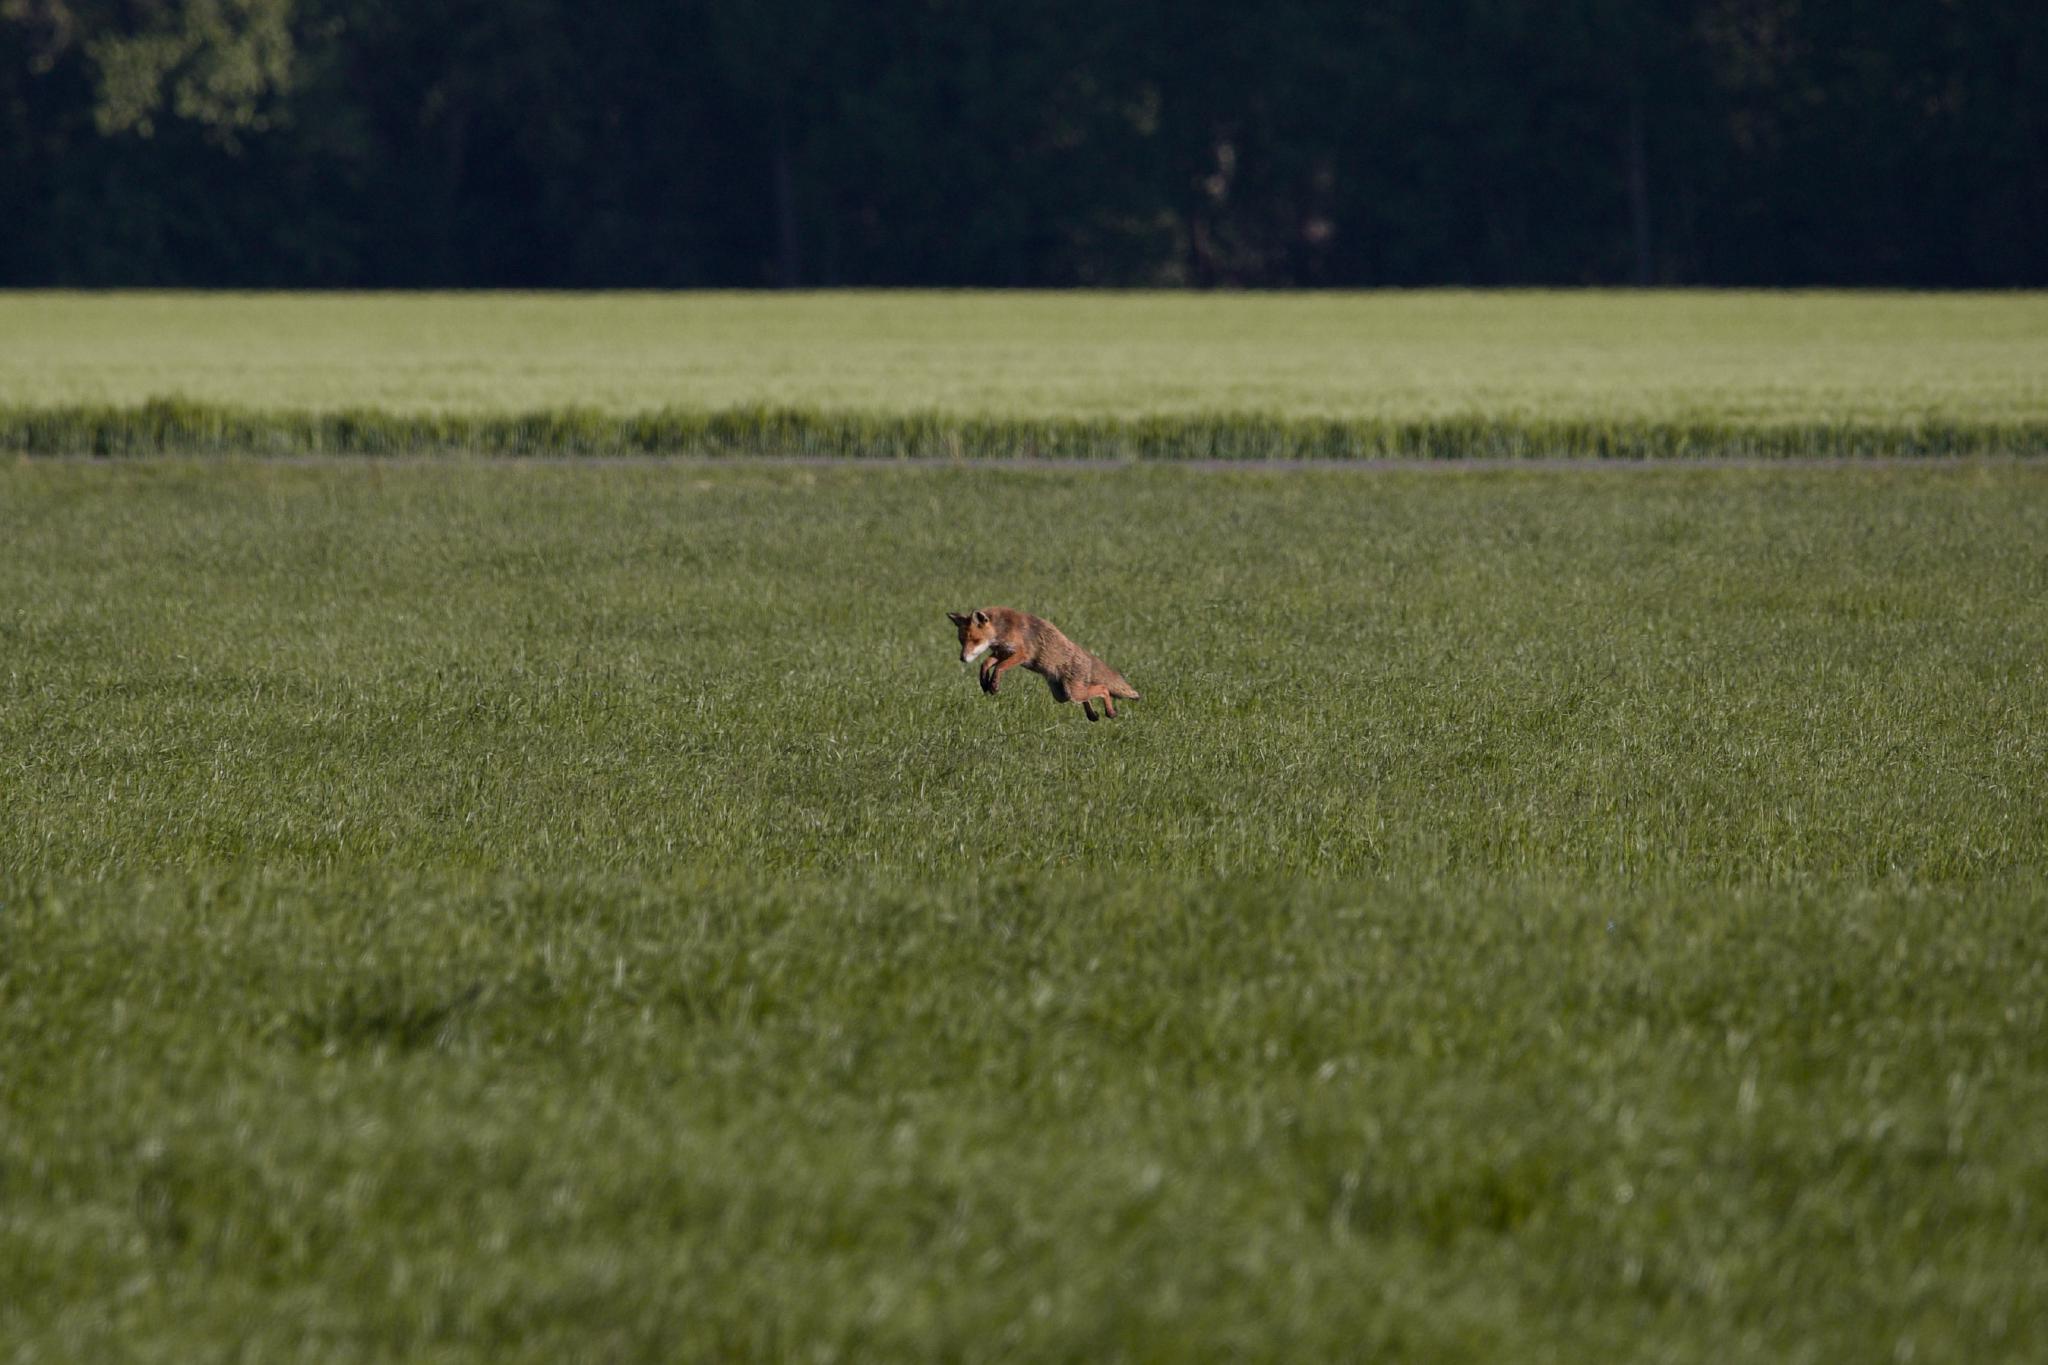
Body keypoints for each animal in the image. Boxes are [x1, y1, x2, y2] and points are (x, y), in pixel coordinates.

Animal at [947, 607, 1141, 721]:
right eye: (961, 641)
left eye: (975, 640)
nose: (962, 658)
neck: (1003, 629)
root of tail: (1086, 656)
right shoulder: (1002, 652)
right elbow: (986, 663)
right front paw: (984, 682)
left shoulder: (1021, 654)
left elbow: (999, 667)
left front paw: (993, 684)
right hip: (1063, 695)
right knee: (1089, 696)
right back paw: (1093, 715)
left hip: (1072, 692)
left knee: (1103, 689)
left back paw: (1110, 712)